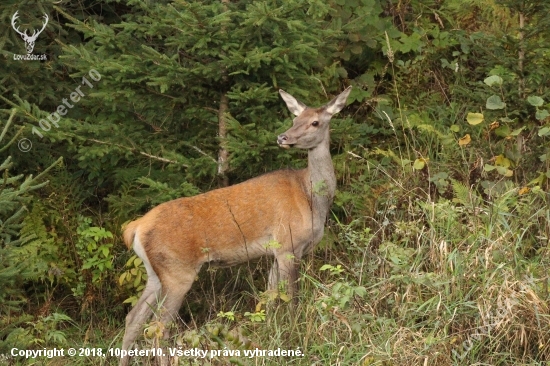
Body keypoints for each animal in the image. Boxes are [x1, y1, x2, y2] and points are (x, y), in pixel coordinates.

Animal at [121, 86, 354, 364]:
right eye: (295, 118)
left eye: (315, 121)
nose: (283, 137)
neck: (312, 198)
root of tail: (136, 227)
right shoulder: (289, 244)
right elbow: (292, 301)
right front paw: (295, 341)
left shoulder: (275, 251)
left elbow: (269, 299)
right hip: (177, 271)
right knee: (159, 328)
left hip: (155, 273)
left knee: (133, 319)